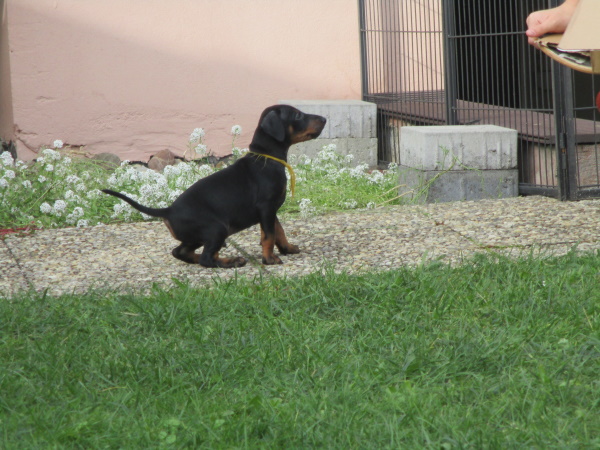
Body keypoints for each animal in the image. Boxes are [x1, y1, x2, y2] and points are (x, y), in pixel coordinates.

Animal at [102, 105, 326, 268]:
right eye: (297, 115)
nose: (324, 119)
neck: (266, 158)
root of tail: (168, 210)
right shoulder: (266, 207)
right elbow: (269, 236)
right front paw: (269, 259)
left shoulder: (271, 211)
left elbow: (278, 231)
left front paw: (287, 248)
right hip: (217, 228)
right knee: (206, 259)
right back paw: (232, 261)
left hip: (198, 235)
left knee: (181, 252)